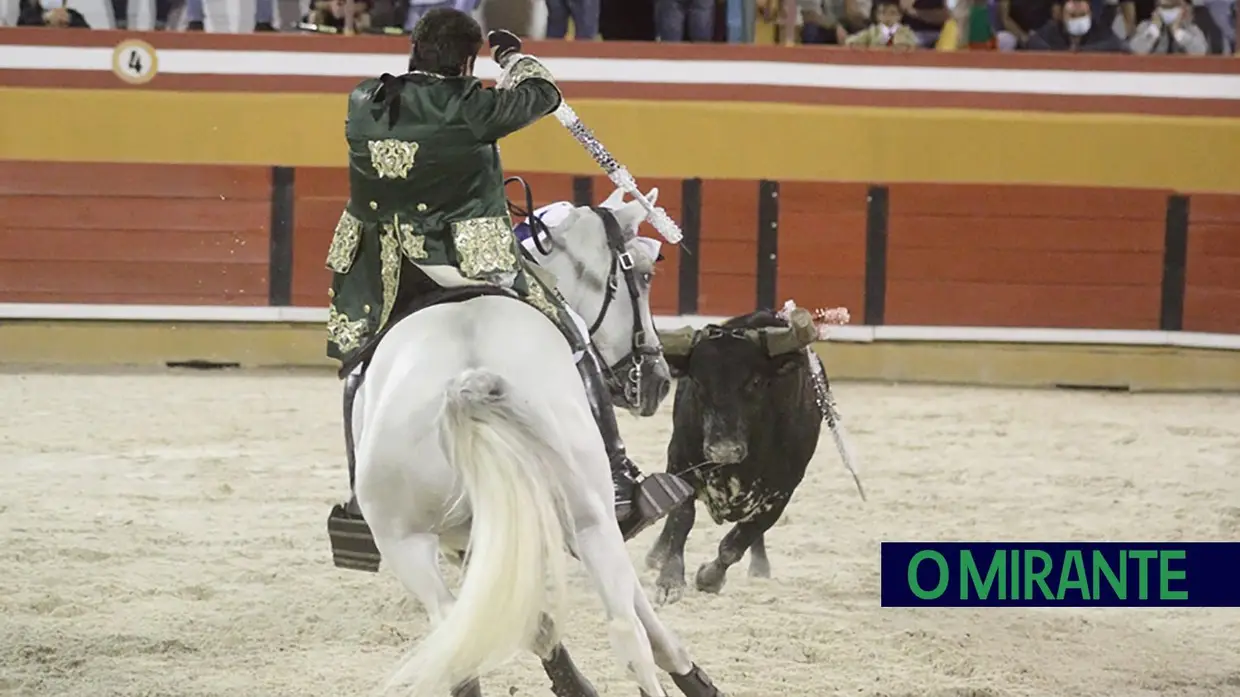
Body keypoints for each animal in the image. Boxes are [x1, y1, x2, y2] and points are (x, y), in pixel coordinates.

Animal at [354, 186, 724, 694]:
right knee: (626, 630)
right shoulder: (595, 520)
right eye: (645, 274)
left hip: (404, 542)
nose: (657, 380)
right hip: (589, 517)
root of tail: (465, 376)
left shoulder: (472, 541)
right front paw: (692, 674)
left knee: (453, 636)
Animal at [644, 308, 828, 602]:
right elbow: (681, 519)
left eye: (755, 381)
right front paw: (669, 580)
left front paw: (709, 578)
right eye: (697, 381)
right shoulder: (681, 462)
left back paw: (760, 567)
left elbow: (737, 542)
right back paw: (656, 556)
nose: (723, 450)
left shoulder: (782, 492)